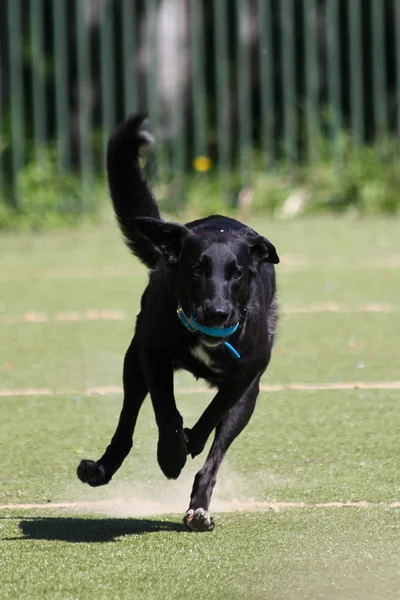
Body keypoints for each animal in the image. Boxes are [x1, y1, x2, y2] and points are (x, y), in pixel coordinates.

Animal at [77, 115, 278, 532]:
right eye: (197, 269)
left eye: (237, 274)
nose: (218, 313)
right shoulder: (152, 354)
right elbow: (166, 411)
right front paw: (170, 456)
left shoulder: (246, 376)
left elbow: (214, 414)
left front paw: (191, 443)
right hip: (132, 364)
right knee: (126, 425)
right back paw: (101, 468)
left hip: (249, 398)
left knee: (215, 454)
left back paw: (199, 508)